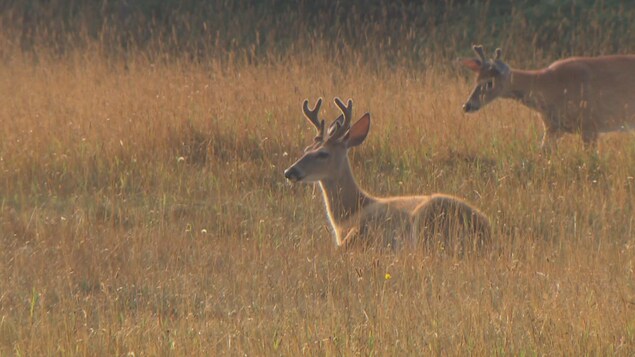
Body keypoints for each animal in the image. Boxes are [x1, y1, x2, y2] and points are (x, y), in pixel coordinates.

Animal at [284, 96, 492, 250]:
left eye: (323, 153)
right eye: (306, 149)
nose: (289, 171)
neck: (349, 214)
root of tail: (486, 230)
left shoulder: (359, 233)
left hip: (424, 221)